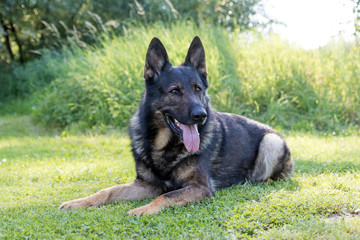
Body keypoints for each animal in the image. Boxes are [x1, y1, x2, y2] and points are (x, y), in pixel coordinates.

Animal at [60, 36, 294, 217]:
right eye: (174, 91)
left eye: (198, 89)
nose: (201, 115)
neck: (164, 146)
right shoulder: (146, 184)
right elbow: (107, 191)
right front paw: (78, 202)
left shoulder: (199, 188)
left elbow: (167, 195)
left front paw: (142, 209)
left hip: (271, 141)